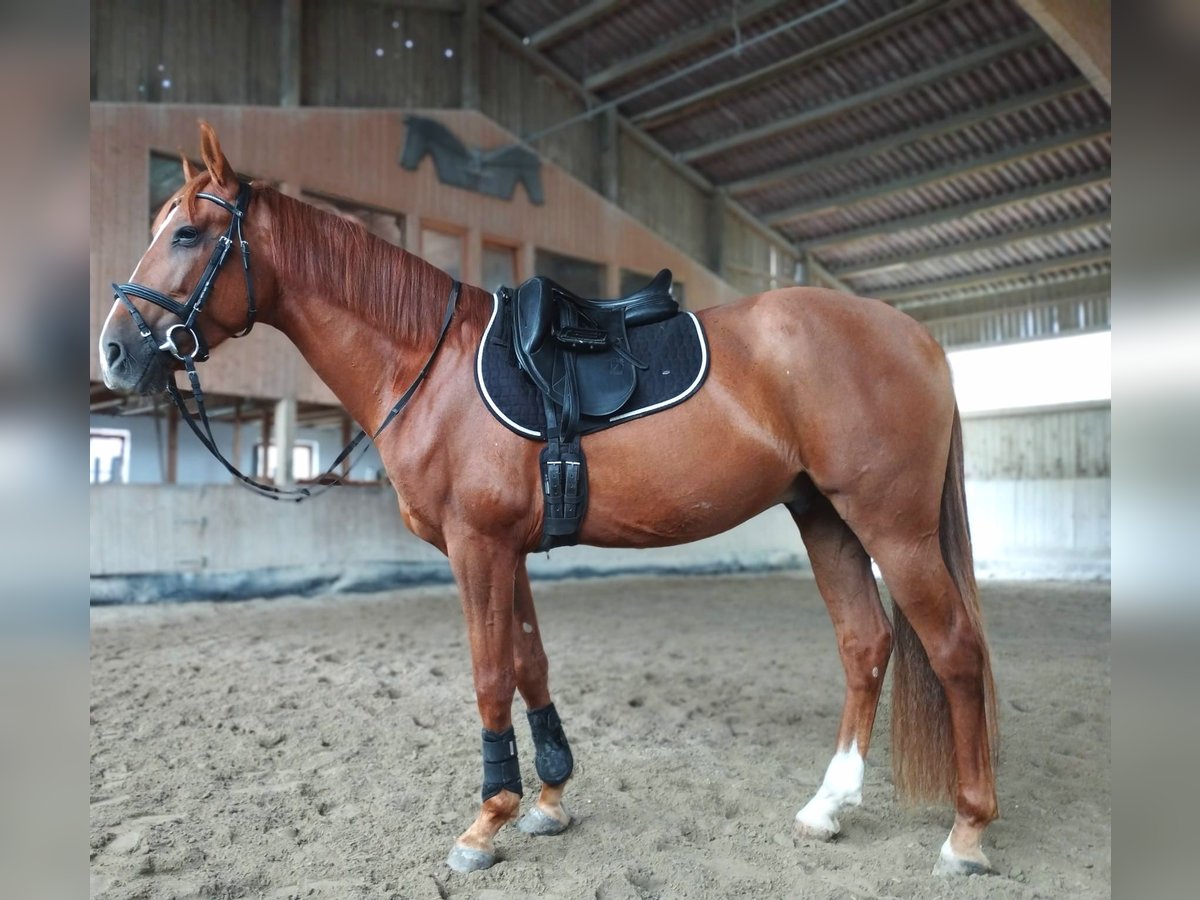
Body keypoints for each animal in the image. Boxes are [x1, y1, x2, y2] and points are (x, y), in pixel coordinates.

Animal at [98, 123, 998, 878]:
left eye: (186, 233)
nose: (113, 352)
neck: (427, 364)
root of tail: (915, 335)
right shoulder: (511, 550)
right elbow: (531, 663)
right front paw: (551, 798)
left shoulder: (478, 547)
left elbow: (490, 672)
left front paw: (485, 821)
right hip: (826, 517)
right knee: (865, 644)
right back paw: (827, 807)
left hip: (892, 526)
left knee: (955, 648)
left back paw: (967, 833)